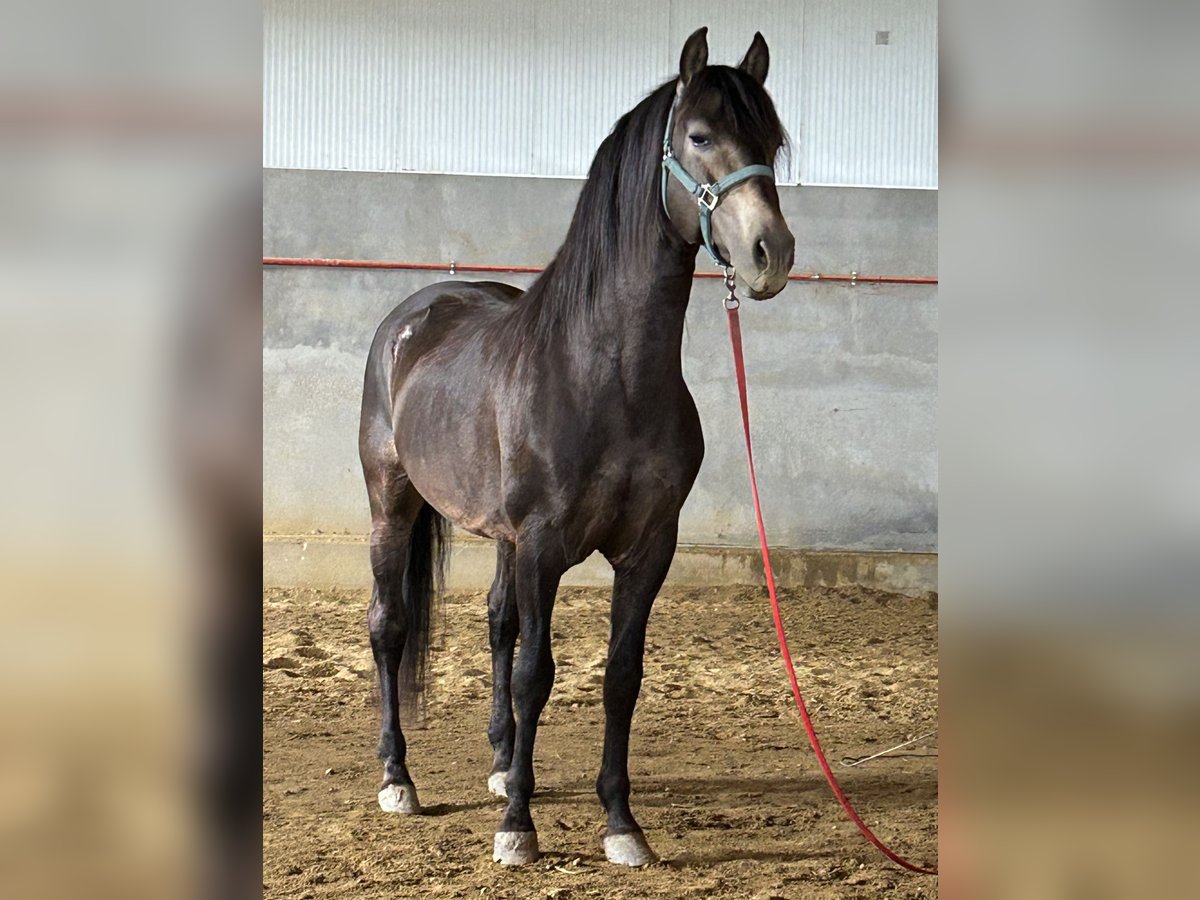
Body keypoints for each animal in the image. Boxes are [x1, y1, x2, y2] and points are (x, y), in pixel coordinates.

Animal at [355, 28, 796, 868]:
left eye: (775, 142)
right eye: (699, 136)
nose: (771, 253)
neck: (608, 372)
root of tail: (412, 316)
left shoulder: (648, 547)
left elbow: (620, 675)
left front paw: (621, 823)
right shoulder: (542, 545)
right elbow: (538, 673)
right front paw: (517, 829)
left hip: (497, 536)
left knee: (497, 623)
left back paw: (501, 763)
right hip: (392, 504)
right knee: (389, 627)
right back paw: (398, 779)